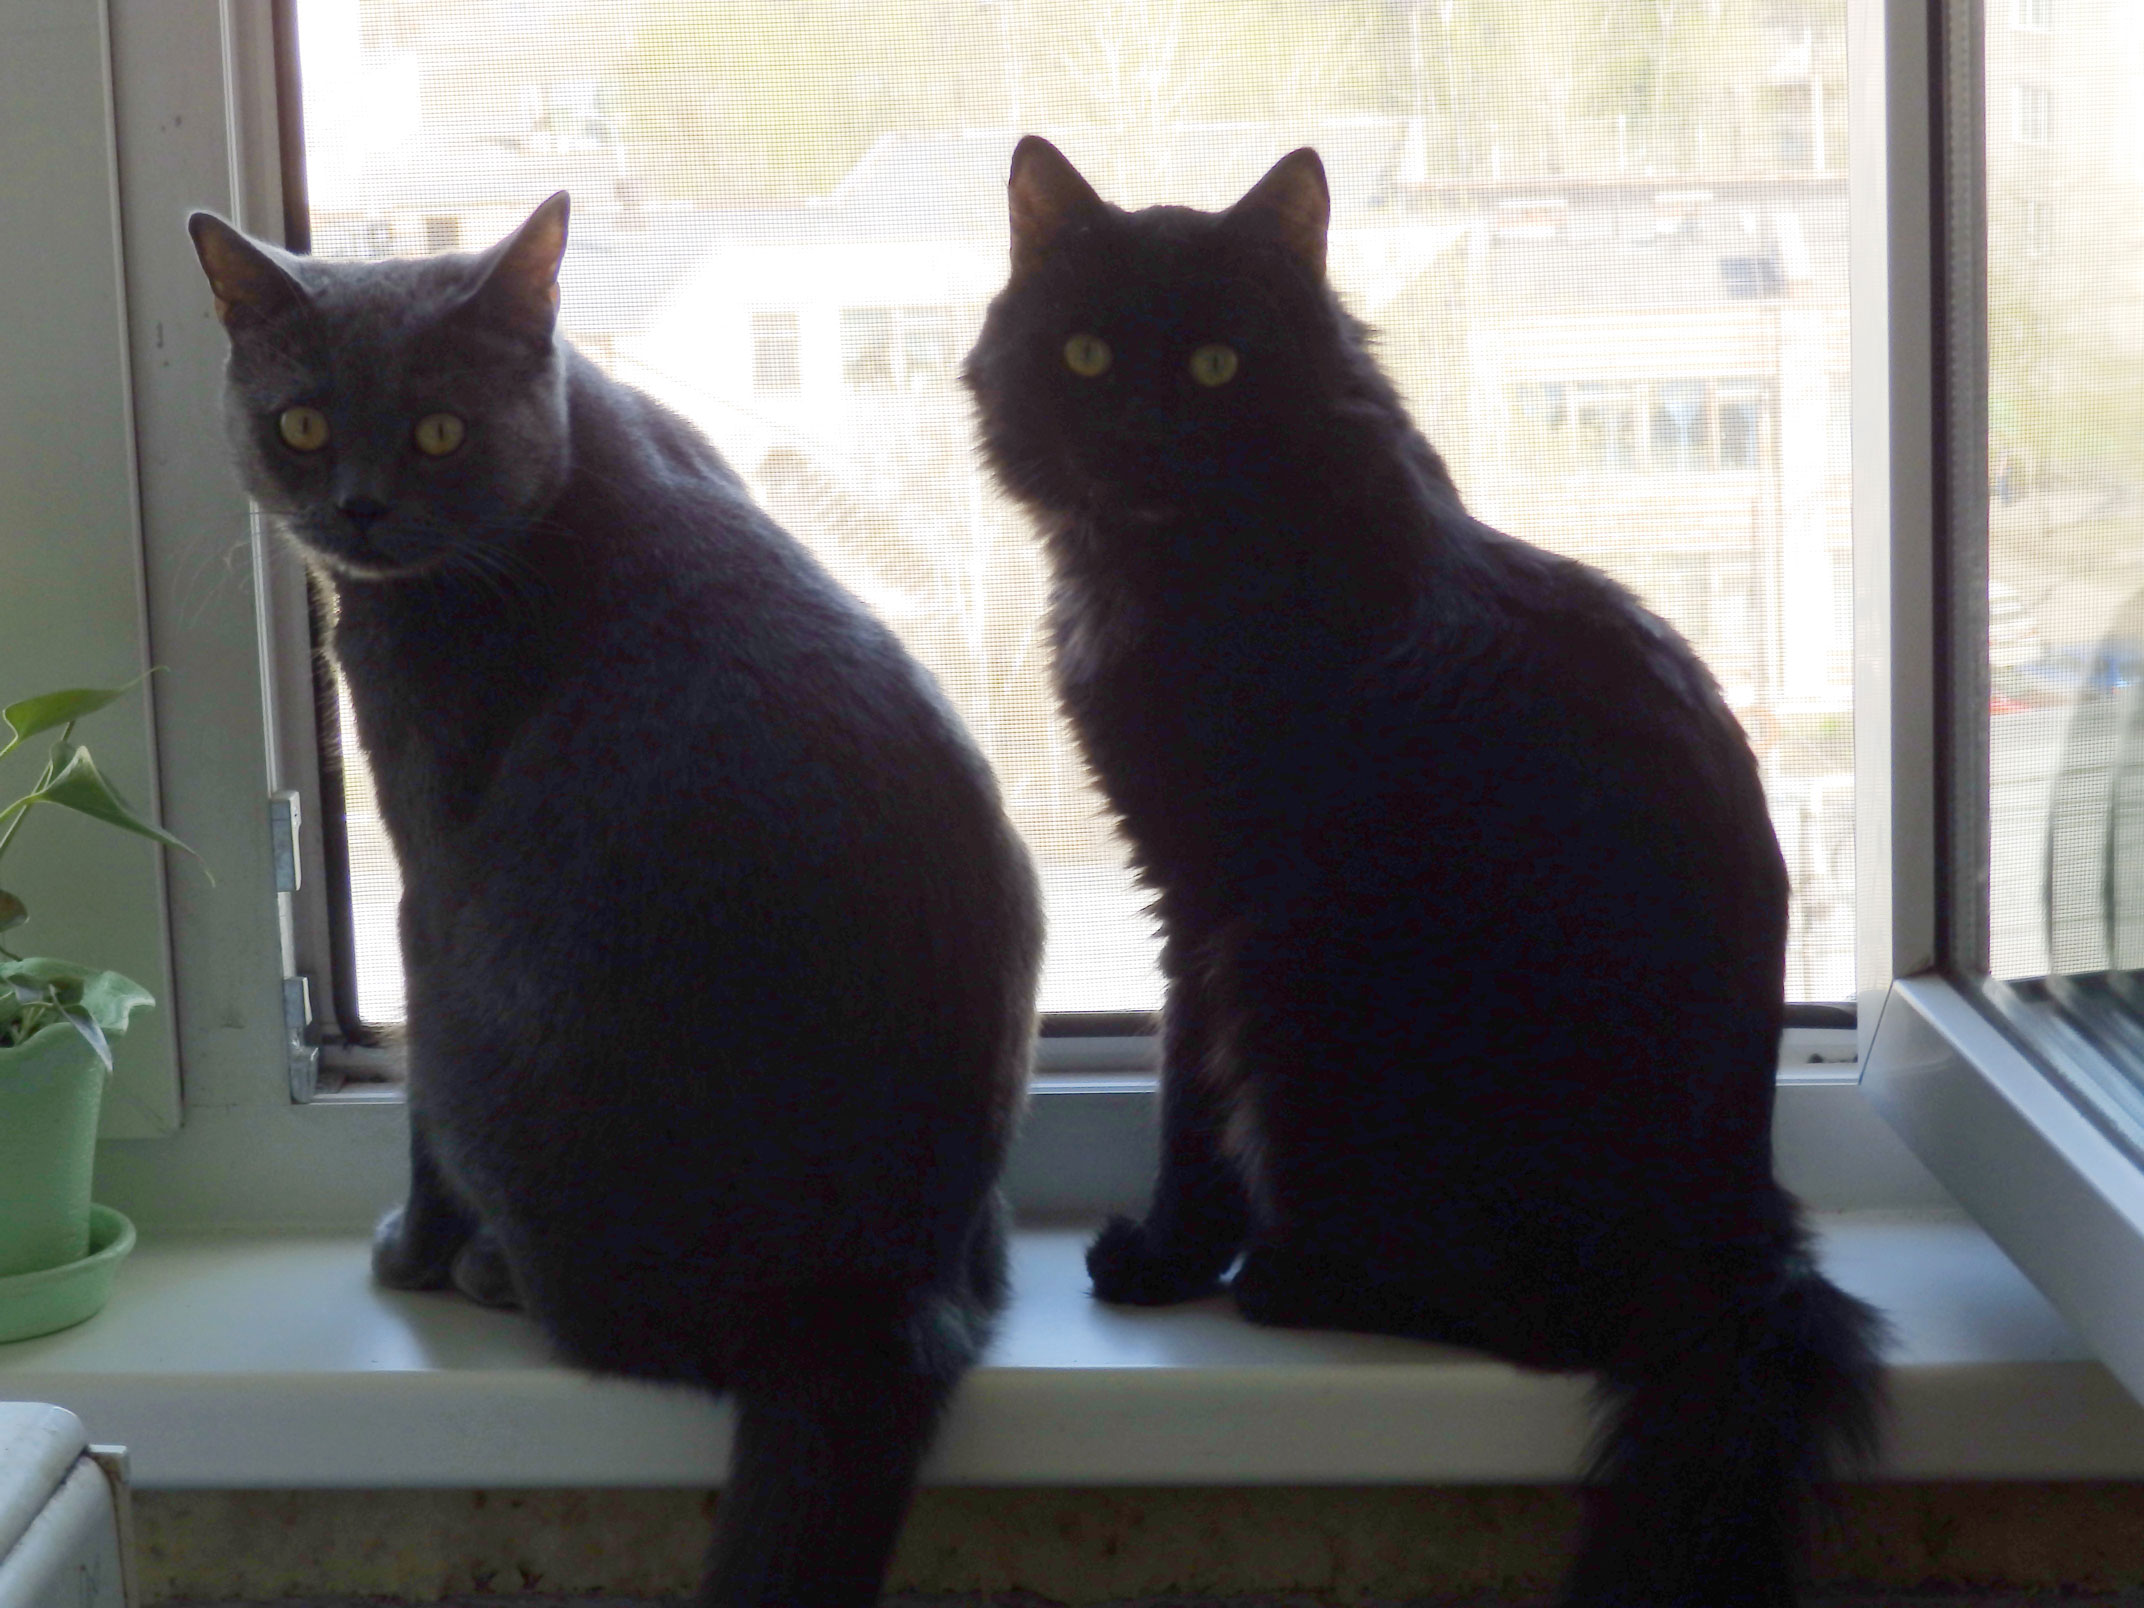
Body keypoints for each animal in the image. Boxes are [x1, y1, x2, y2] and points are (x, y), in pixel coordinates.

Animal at [191, 193, 1042, 1608]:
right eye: (301, 422)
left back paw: (483, 1266)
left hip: (480, 1022)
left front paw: (407, 1249)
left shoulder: (426, 877)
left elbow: (415, 1117)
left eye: (439, 428)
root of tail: (873, 1305)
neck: (573, 471)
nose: (358, 507)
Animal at [964, 137, 1885, 1608]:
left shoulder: (1214, 901)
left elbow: (1187, 1096)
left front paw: (1165, 1258)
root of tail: (1741, 1234)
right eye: (1089, 354)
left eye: (1216, 364)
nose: (1142, 432)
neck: (1175, 569)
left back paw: (1283, 1280)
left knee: (1547, 1321)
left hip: (1323, 1008)